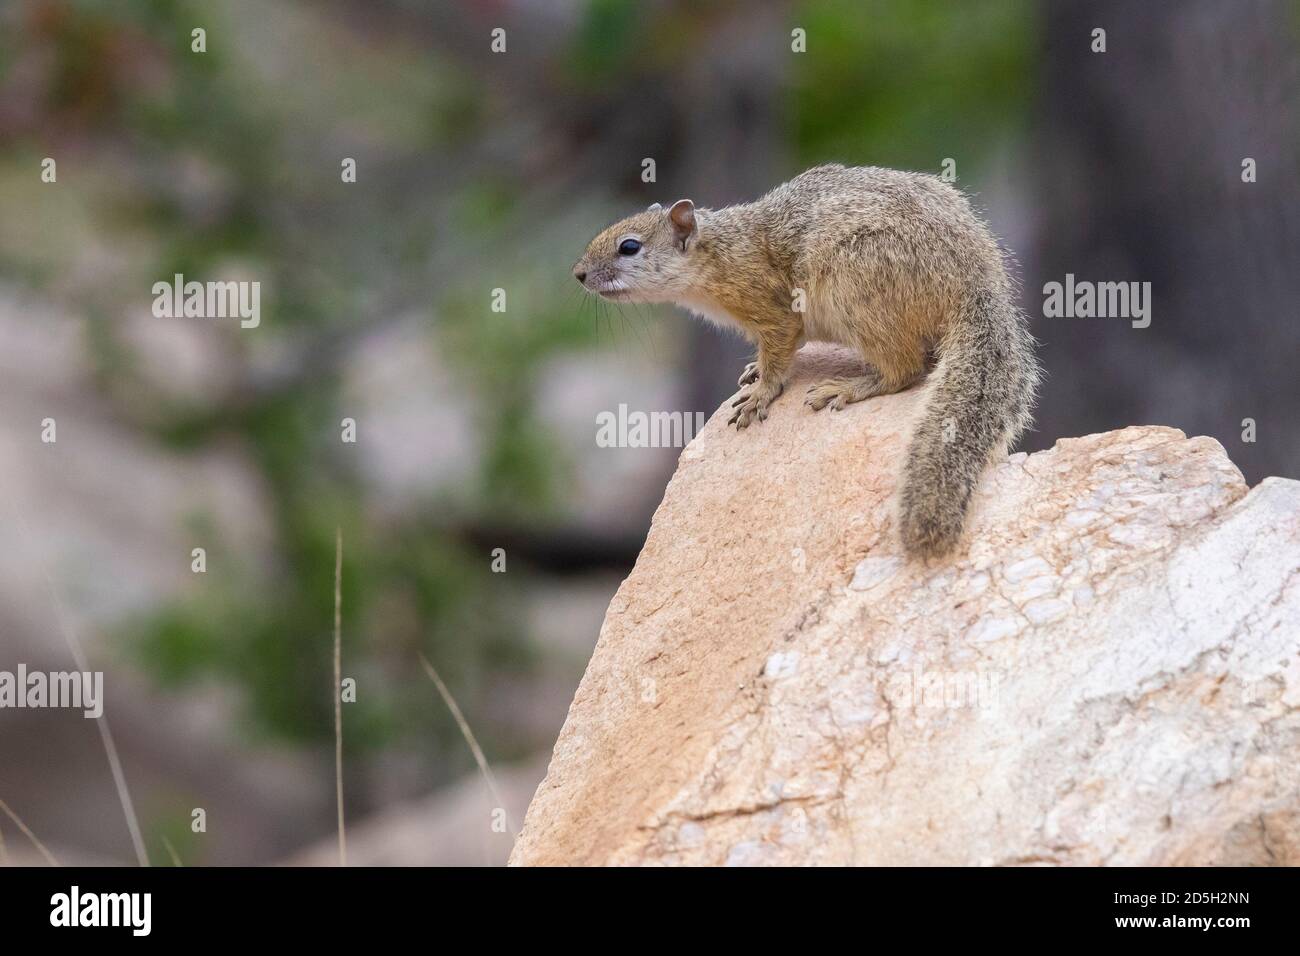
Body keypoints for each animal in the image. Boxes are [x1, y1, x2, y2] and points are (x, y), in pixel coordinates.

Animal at [573, 163, 1040, 559]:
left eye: (629, 247)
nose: (578, 274)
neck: (720, 252)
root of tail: (977, 283)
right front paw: (754, 371)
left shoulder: (773, 310)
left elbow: (781, 354)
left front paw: (761, 393)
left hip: (855, 285)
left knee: (905, 368)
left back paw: (847, 388)